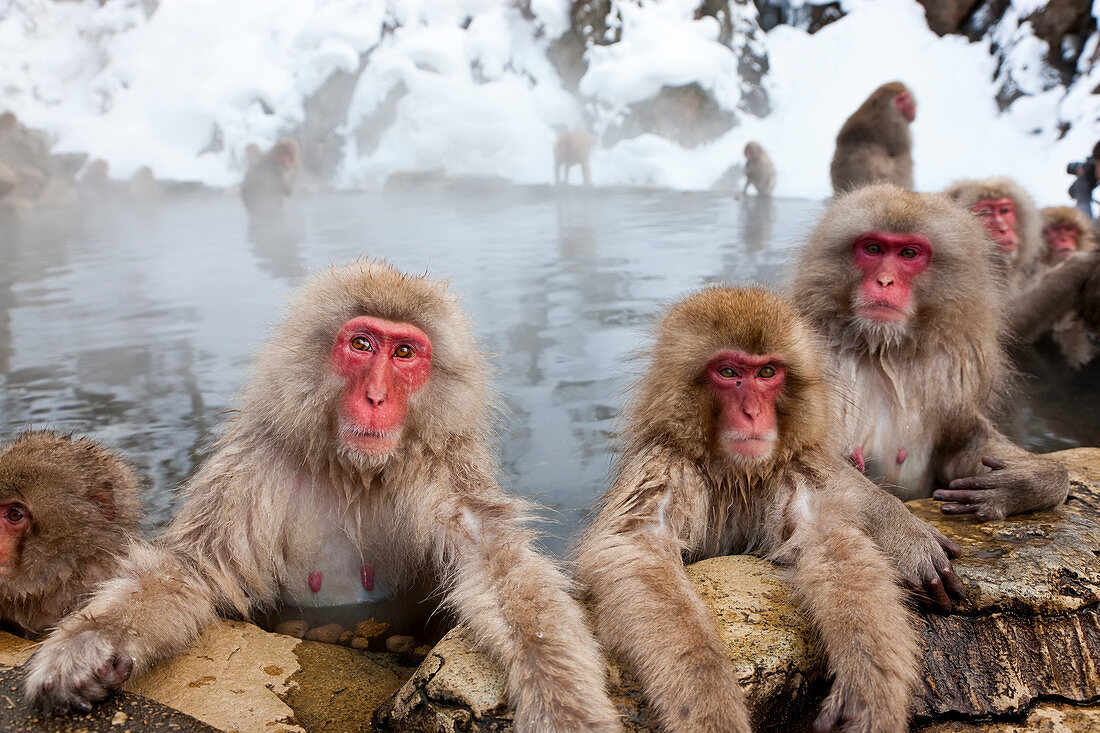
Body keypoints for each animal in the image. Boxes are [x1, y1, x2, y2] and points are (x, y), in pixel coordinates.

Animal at [576, 286, 954, 730]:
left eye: (767, 373)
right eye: (728, 373)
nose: (753, 413)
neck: (736, 475)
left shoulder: (789, 473)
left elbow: (827, 540)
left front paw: (868, 686)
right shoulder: (664, 466)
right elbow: (636, 549)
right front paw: (710, 704)